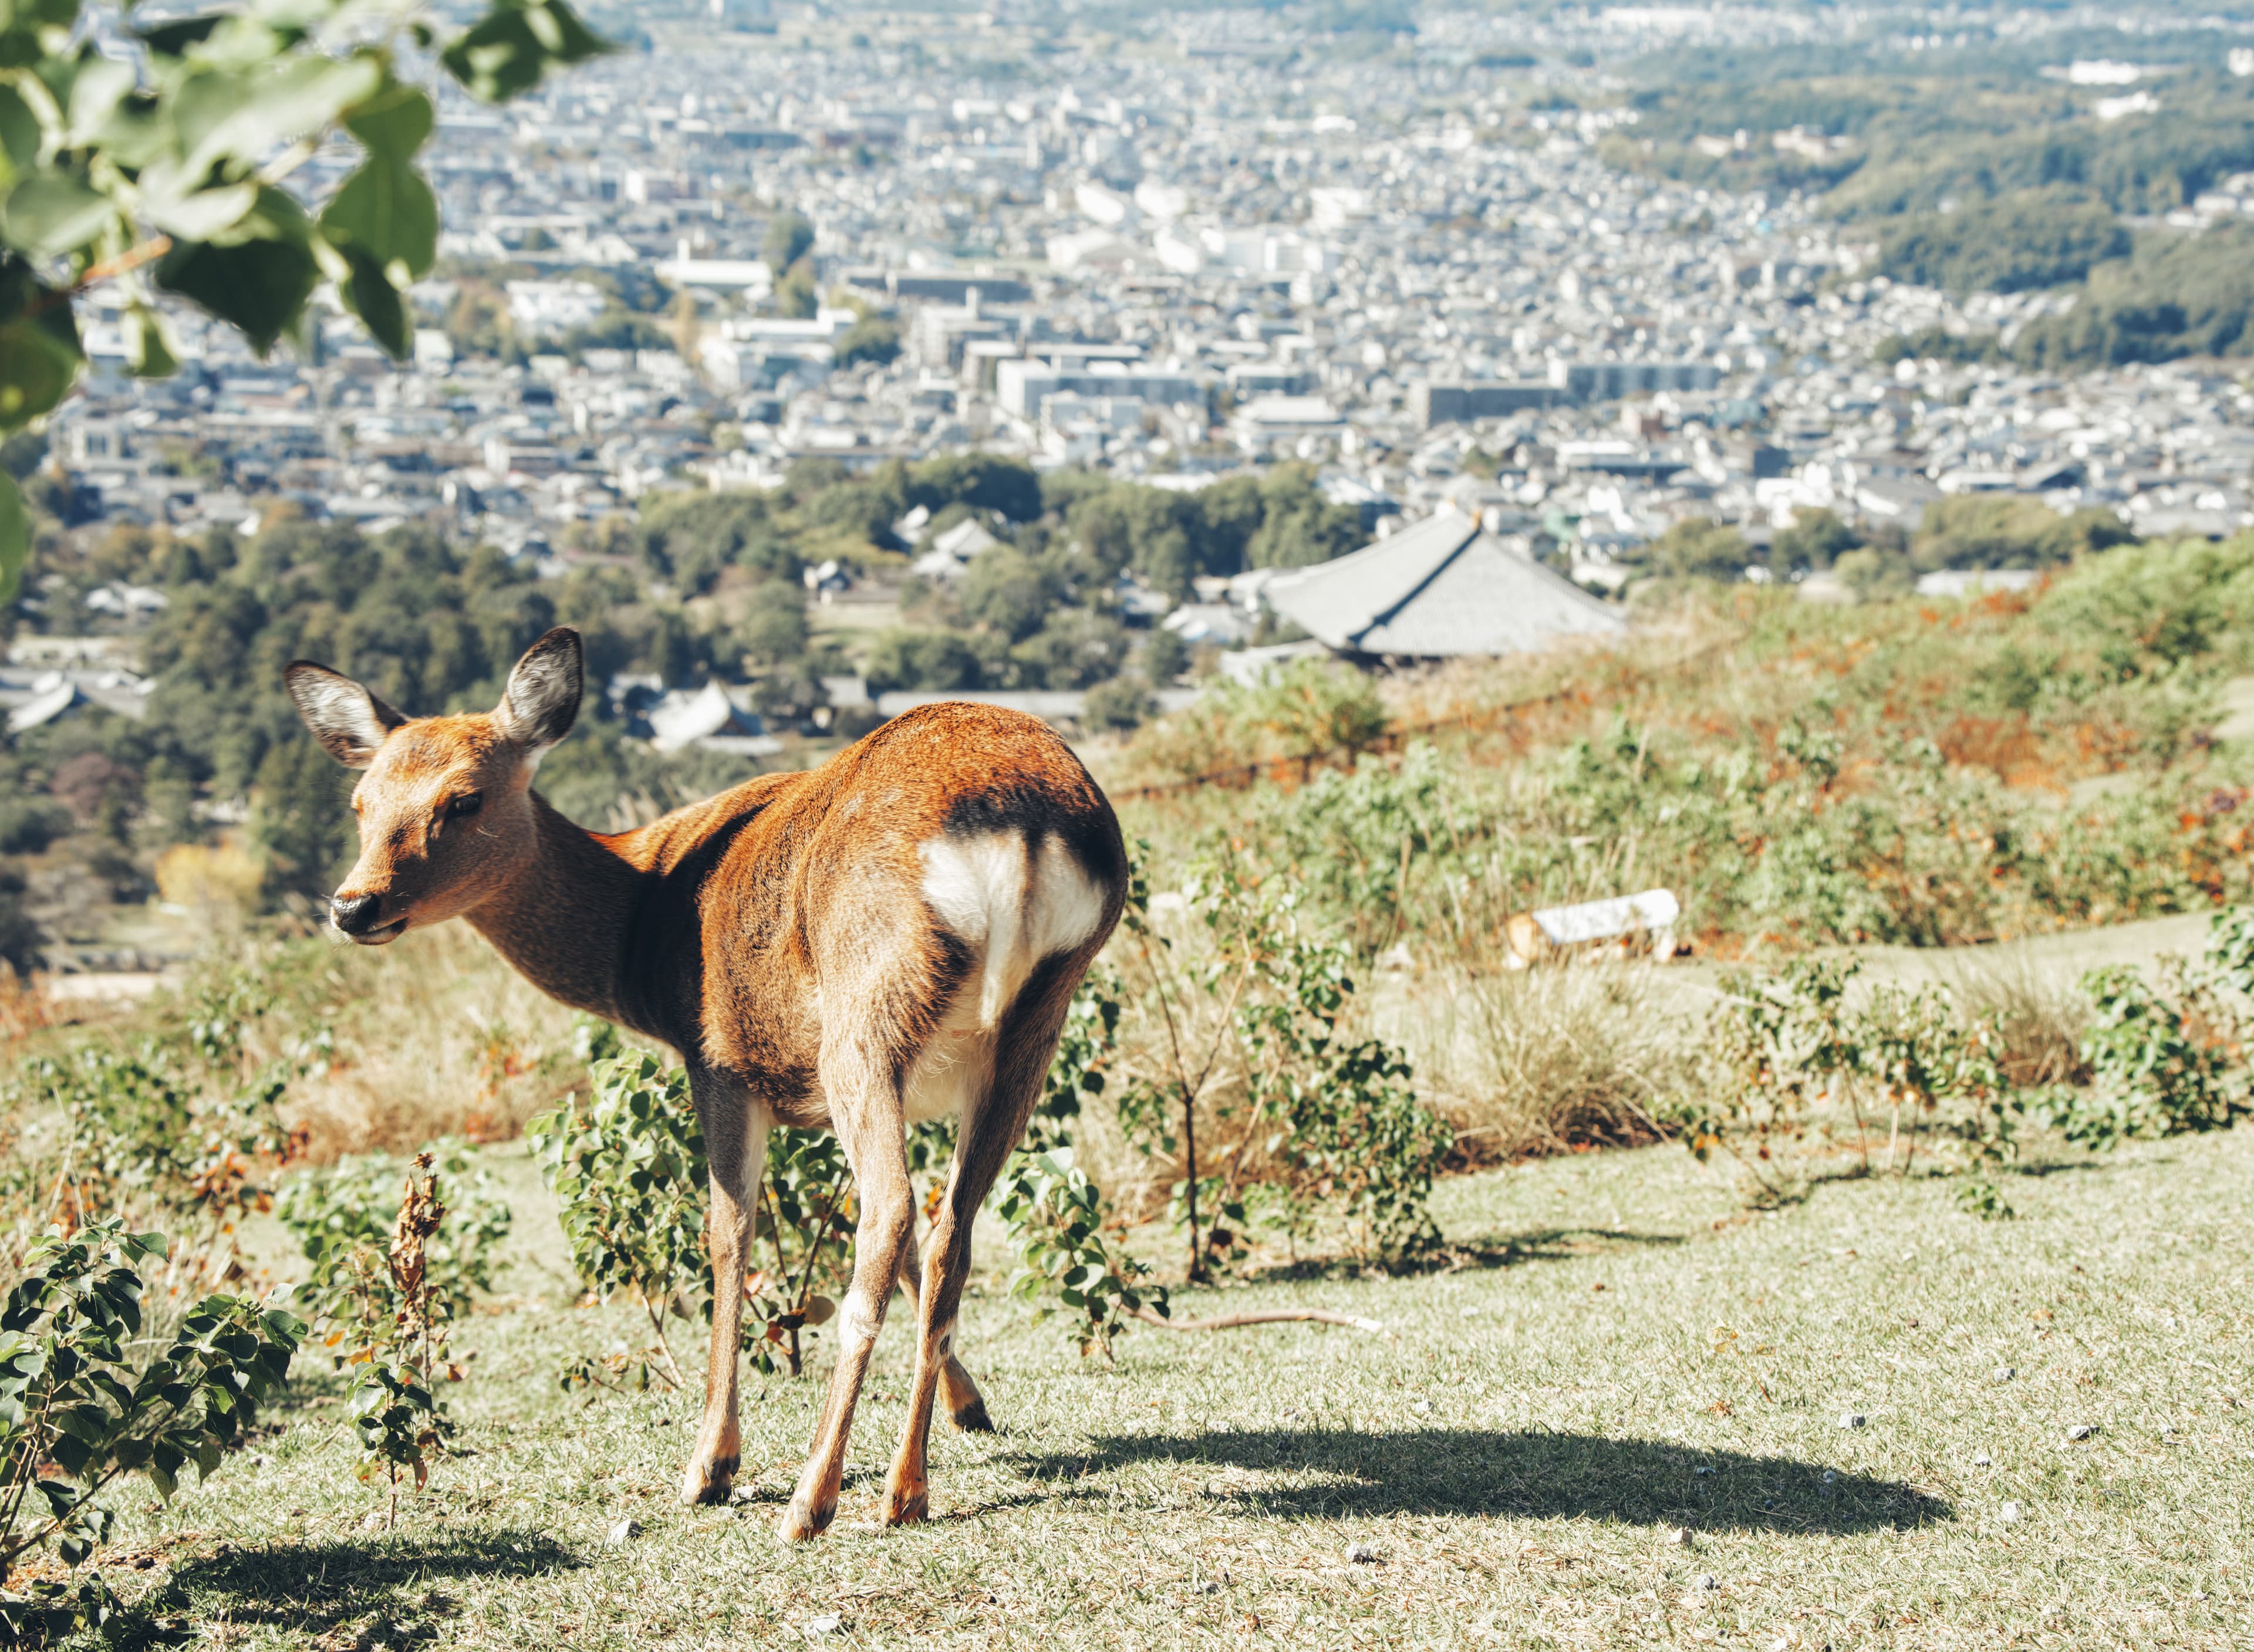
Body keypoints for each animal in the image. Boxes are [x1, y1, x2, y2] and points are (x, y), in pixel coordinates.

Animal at [283, 627, 1127, 1541]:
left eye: (465, 798)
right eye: (361, 801)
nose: (354, 905)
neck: (640, 927)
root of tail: (1026, 830)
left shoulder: (718, 1056)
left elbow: (727, 1234)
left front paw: (710, 1465)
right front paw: (975, 1407)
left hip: (863, 1015)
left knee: (891, 1214)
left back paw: (811, 1499)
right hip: (1035, 1024)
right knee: (947, 1232)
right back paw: (905, 1489)